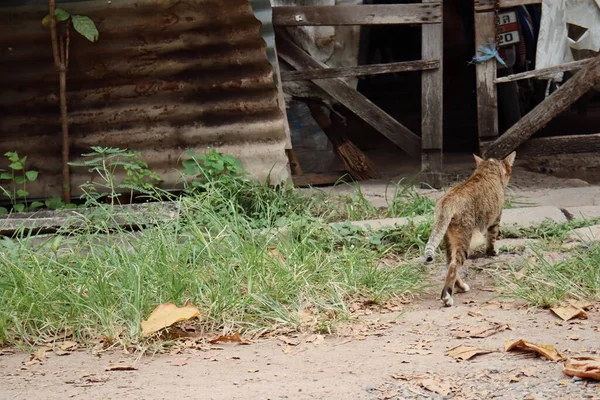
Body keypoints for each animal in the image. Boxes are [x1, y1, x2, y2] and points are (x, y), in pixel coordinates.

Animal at [422, 152, 516, 308]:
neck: (487, 170)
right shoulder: (495, 219)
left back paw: (460, 287)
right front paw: (493, 252)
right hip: (464, 238)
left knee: (449, 262)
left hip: (449, 239)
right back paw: (447, 297)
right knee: (454, 266)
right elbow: (492, 237)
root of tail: (447, 202)